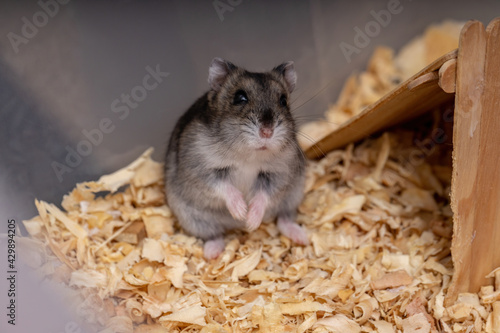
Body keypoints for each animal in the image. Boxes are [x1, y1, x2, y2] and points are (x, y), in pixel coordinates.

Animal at [166, 57, 308, 260]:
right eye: (240, 98)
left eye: (283, 101)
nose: (267, 132)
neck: (248, 155)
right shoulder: (200, 170)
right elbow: (224, 187)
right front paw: (241, 212)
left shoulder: (280, 173)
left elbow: (264, 194)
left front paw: (251, 221)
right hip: (193, 218)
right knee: (214, 235)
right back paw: (213, 251)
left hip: (292, 197)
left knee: (283, 219)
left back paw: (301, 237)